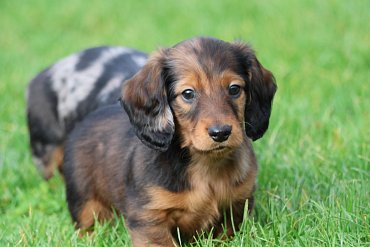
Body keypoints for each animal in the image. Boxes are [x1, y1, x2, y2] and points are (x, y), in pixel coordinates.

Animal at [63, 37, 276, 247]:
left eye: (234, 89)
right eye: (188, 93)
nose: (221, 133)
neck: (204, 165)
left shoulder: (237, 207)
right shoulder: (149, 217)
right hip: (84, 200)